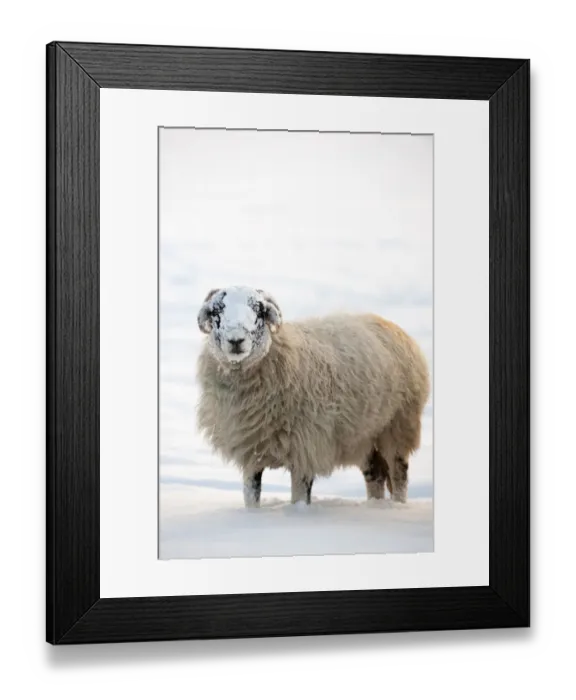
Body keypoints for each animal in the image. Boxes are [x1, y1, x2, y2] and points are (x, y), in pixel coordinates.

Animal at [195, 285, 430, 508]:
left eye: (259, 310)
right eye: (216, 310)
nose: (236, 340)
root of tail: (393, 326)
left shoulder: (305, 449)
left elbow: (299, 497)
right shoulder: (252, 452)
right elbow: (251, 496)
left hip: (397, 427)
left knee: (398, 475)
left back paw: (396, 506)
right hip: (363, 435)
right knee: (375, 475)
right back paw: (374, 505)